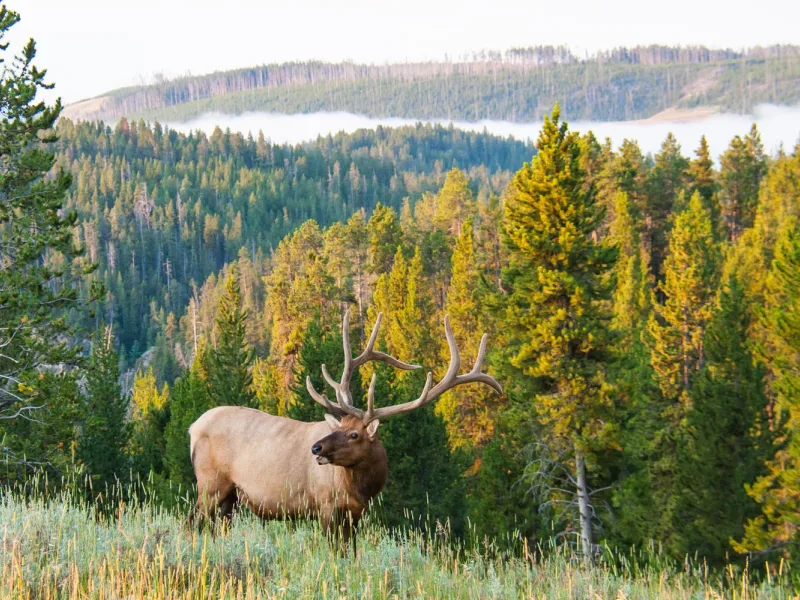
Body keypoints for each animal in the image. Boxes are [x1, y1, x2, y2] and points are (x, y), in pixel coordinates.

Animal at [188, 309, 502, 553]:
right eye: (341, 427)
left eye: (354, 434)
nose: (316, 448)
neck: (361, 488)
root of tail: (193, 427)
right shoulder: (325, 504)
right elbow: (334, 551)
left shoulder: (356, 513)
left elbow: (350, 552)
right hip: (210, 483)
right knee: (195, 522)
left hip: (230, 496)